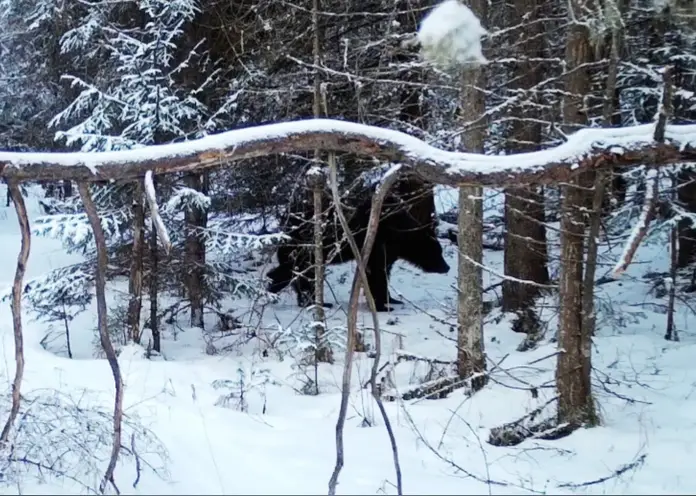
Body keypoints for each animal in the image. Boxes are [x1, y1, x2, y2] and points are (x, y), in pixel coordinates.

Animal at [266, 174, 452, 312]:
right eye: (438, 252)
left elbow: (384, 271)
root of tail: (285, 222)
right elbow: (376, 272)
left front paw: (391, 299)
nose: (447, 267)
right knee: (298, 271)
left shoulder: (389, 251)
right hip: (304, 249)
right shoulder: (377, 243)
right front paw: (382, 305)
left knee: (295, 272)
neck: (398, 235)